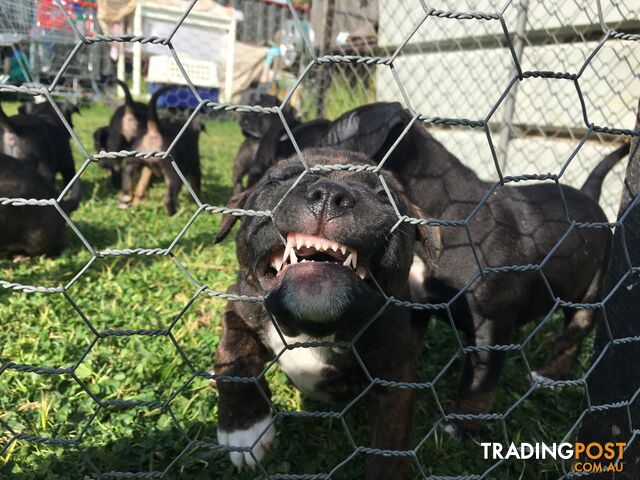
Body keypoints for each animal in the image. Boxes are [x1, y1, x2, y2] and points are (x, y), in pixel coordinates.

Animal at [212, 148, 442, 478]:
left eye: (383, 195)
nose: (331, 194)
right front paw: (243, 428)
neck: (311, 330)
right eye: (277, 179)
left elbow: (389, 444)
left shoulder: (395, 374)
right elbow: (231, 352)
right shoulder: (240, 305)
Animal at [318, 103, 624, 436]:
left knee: (575, 330)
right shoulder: (418, 307)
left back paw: (549, 376)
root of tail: (590, 197)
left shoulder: (491, 325)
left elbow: (479, 381)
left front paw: (461, 425)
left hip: (591, 290)